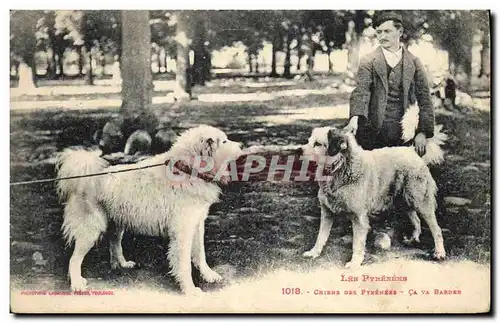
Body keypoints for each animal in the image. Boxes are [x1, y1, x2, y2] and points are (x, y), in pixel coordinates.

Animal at [55, 125, 243, 294]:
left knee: (114, 244)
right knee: (74, 259)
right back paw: (77, 284)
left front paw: (209, 275)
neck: (187, 170)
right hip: (91, 229)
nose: (241, 146)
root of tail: (83, 178)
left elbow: (200, 254)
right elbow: (184, 264)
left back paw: (122, 264)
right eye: (224, 141)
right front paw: (190, 289)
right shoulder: (183, 231)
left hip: (117, 223)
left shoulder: (196, 224)